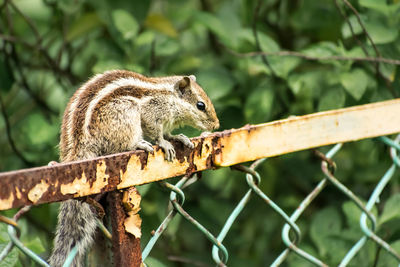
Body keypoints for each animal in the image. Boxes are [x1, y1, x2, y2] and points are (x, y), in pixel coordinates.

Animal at [49, 70, 222, 266]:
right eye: (200, 105)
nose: (216, 125)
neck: (168, 96)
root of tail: (79, 146)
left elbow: (168, 133)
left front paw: (179, 137)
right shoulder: (152, 113)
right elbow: (156, 133)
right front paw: (164, 143)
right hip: (125, 115)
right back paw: (139, 144)